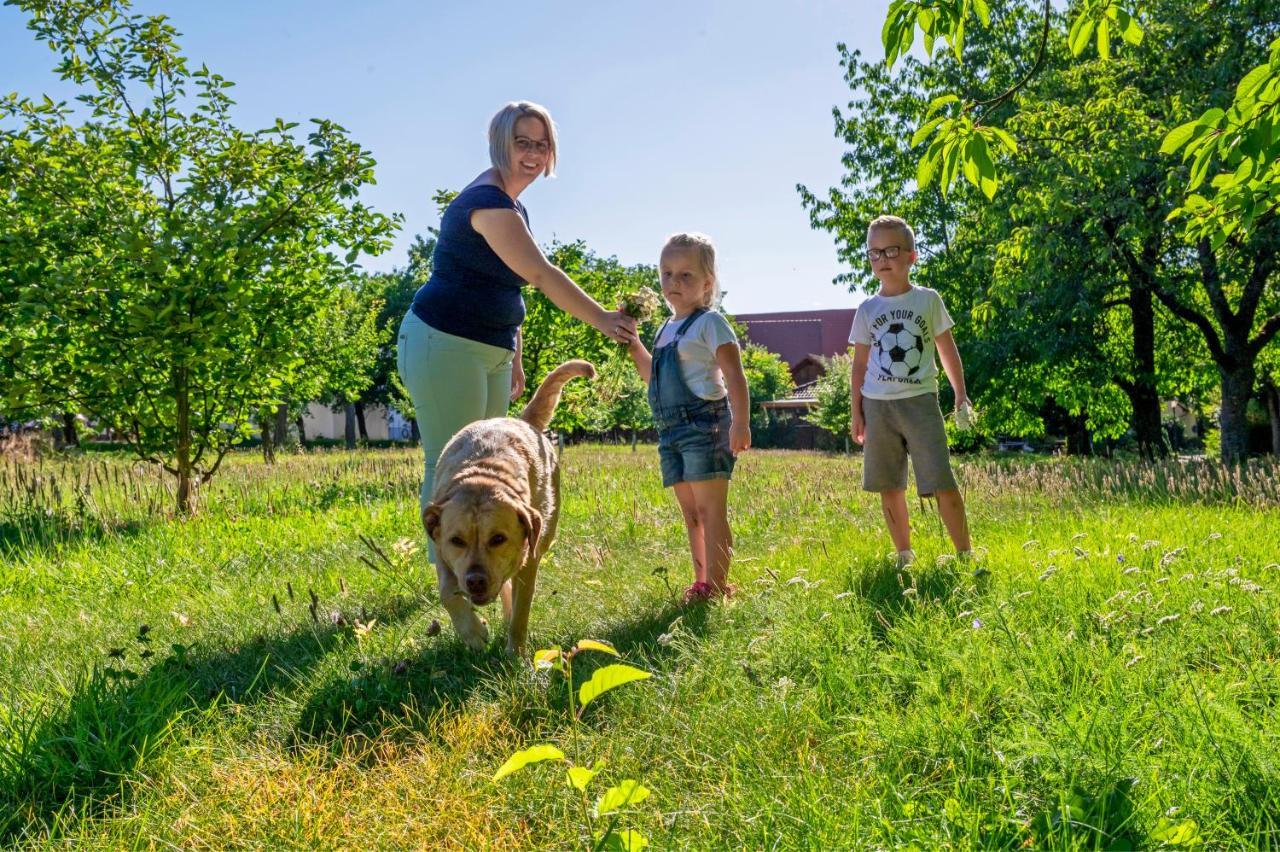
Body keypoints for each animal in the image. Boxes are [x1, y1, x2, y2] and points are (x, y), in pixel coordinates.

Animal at [424, 358, 593, 649]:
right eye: (456, 540)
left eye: (498, 539)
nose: (476, 581)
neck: (482, 474)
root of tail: (522, 421)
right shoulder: (443, 551)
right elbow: (447, 592)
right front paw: (473, 632)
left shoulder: (528, 560)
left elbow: (520, 612)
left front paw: (515, 653)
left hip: (545, 530)